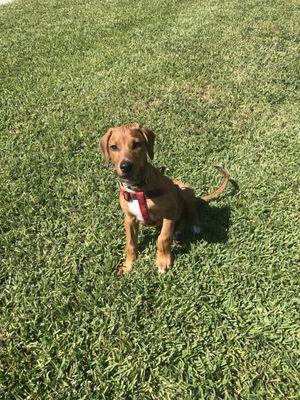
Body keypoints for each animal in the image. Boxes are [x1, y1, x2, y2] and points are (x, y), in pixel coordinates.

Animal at [99, 123, 229, 274]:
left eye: (137, 144)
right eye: (113, 147)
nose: (126, 166)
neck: (139, 189)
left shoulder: (170, 211)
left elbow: (163, 238)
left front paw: (163, 261)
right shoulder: (129, 218)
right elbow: (130, 243)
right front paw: (128, 264)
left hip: (184, 190)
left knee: (191, 210)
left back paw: (193, 225)